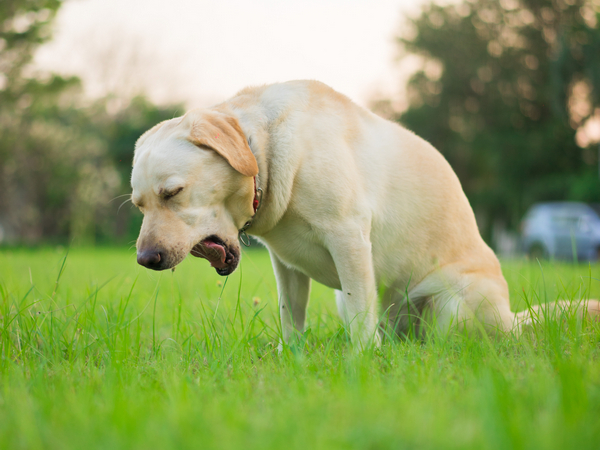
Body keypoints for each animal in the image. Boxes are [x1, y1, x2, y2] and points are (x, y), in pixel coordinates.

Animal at [132, 80, 600, 348]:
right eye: (139, 204)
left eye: (173, 193)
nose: (146, 259)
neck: (263, 149)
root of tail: (512, 322)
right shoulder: (286, 265)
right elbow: (291, 316)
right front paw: (292, 357)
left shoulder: (349, 238)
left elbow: (361, 320)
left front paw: (360, 364)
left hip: (454, 304)